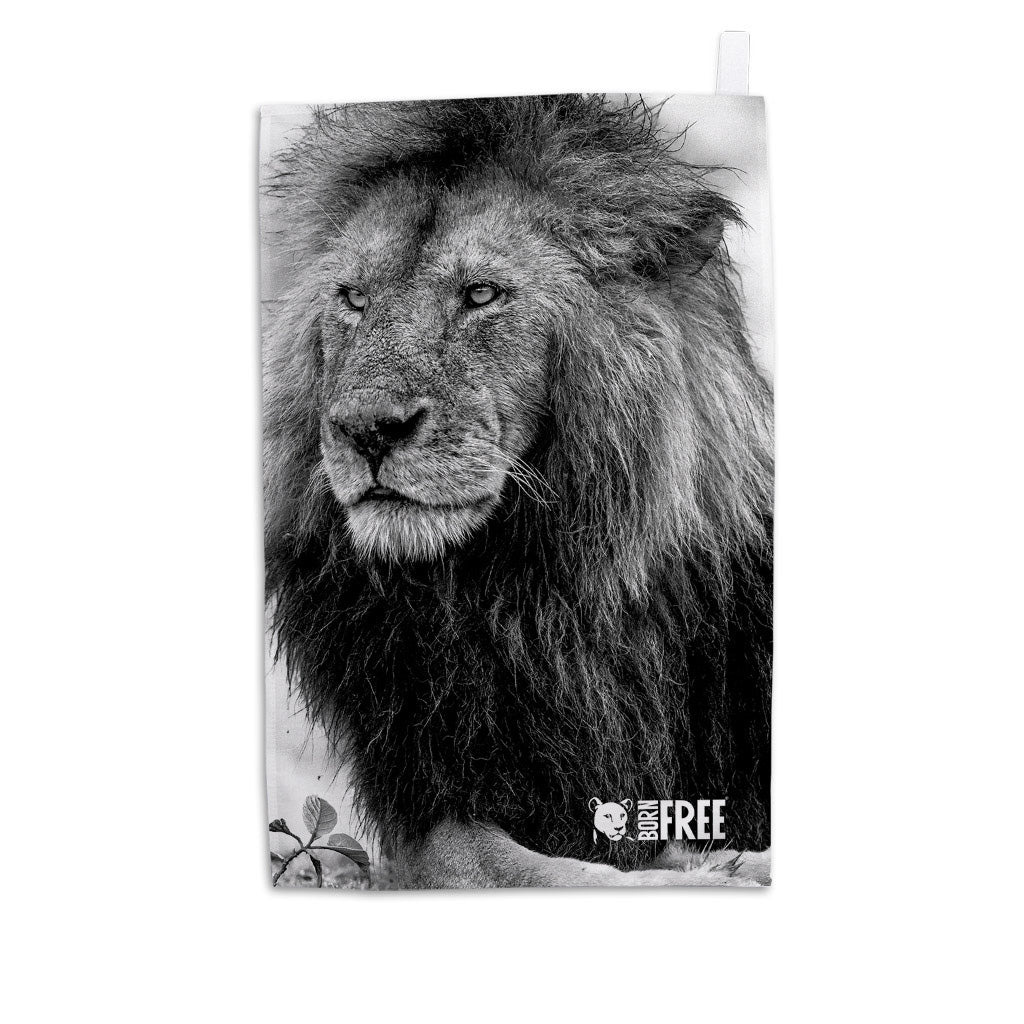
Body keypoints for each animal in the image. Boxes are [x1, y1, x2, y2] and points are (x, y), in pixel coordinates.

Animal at [263, 95, 773, 887]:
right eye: (353, 297)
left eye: (481, 294)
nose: (367, 429)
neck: (542, 596)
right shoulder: (428, 806)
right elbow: (495, 856)